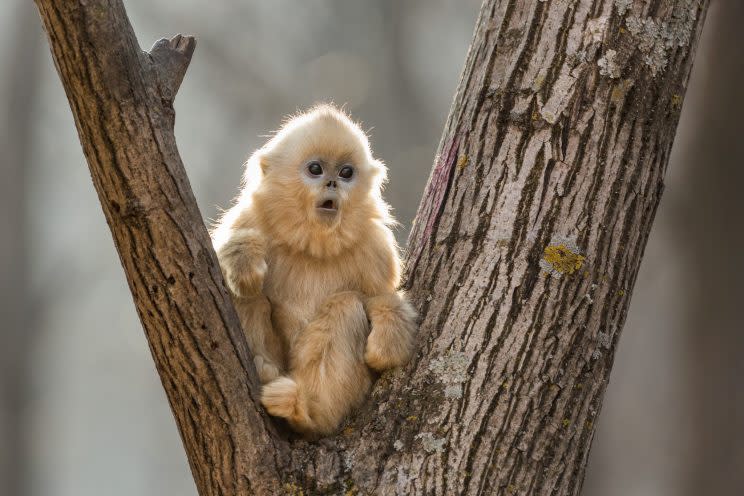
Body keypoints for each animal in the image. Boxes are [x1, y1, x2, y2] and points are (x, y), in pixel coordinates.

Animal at [212, 105, 416, 438]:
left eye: (346, 173)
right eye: (316, 169)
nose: (332, 183)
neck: (312, 244)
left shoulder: (375, 247)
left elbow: (379, 298)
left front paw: (388, 342)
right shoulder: (250, 217)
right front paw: (244, 259)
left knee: (345, 304)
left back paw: (304, 411)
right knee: (247, 293)